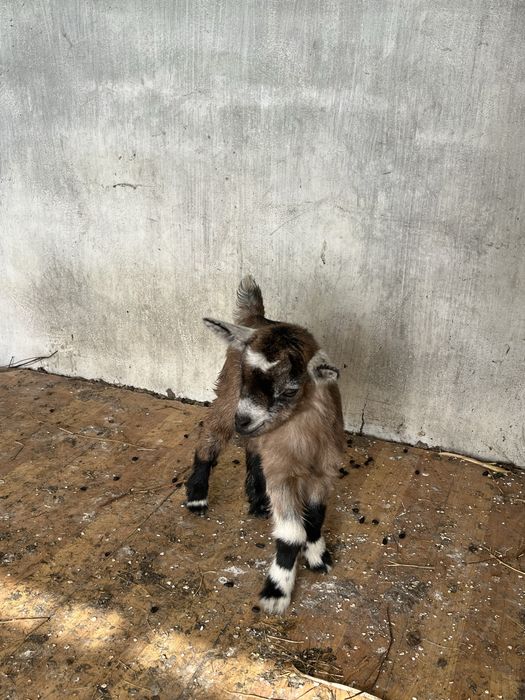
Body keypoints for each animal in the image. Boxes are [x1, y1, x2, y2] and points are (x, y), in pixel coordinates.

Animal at [186, 275, 345, 613]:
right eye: (246, 375)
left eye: (290, 390)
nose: (243, 420)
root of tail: (258, 318)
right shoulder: (284, 475)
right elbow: (292, 533)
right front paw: (276, 591)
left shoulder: (326, 470)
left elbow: (316, 517)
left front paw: (318, 557)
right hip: (227, 396)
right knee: (211, 434)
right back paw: (197, 496)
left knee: (253, 449)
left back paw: (258, 500)